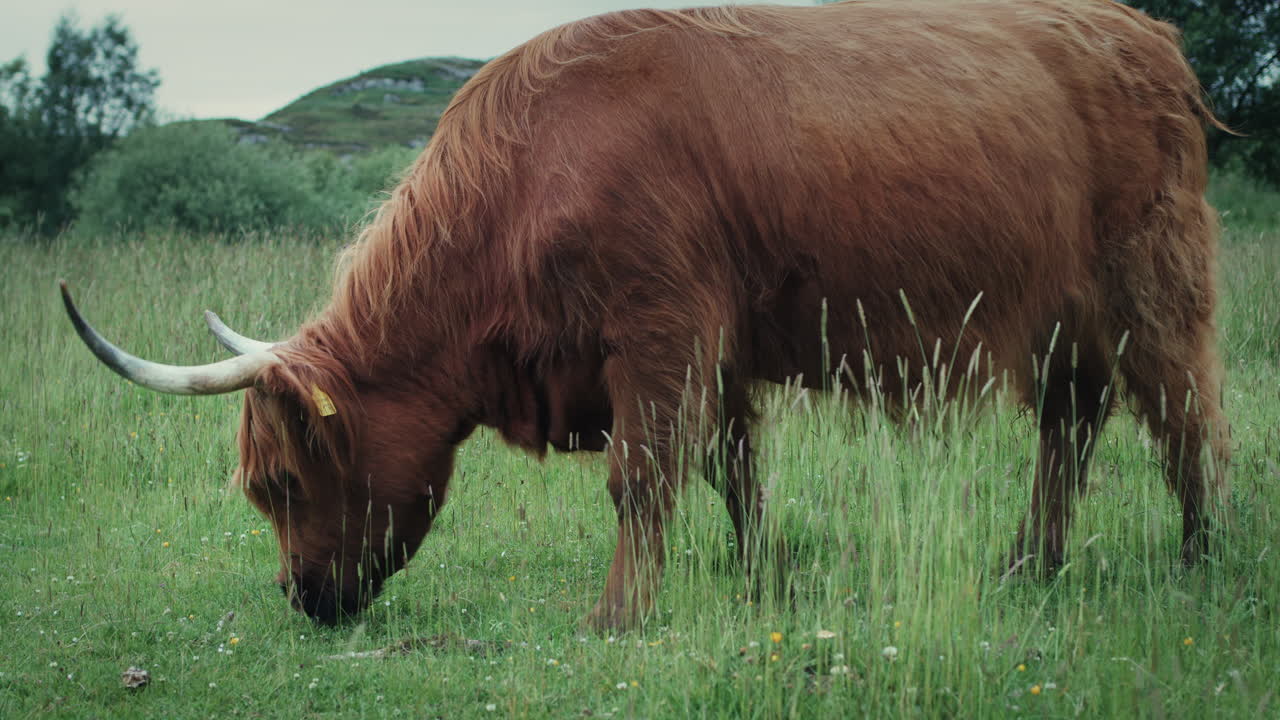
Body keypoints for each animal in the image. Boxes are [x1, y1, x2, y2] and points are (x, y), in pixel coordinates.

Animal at [62, 0, 1229, 631]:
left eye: (284, 483)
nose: (301, 598)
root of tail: (1140, 33)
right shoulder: (712, 346)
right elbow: (731, 470)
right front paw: (763, 578)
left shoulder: (659, 328)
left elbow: (643, 474)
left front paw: (619, 613)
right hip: (1061, 318)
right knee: (1071, 423)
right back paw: (1029, 562)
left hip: (1149, 279)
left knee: (1185, 419)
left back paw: (1199, 561)